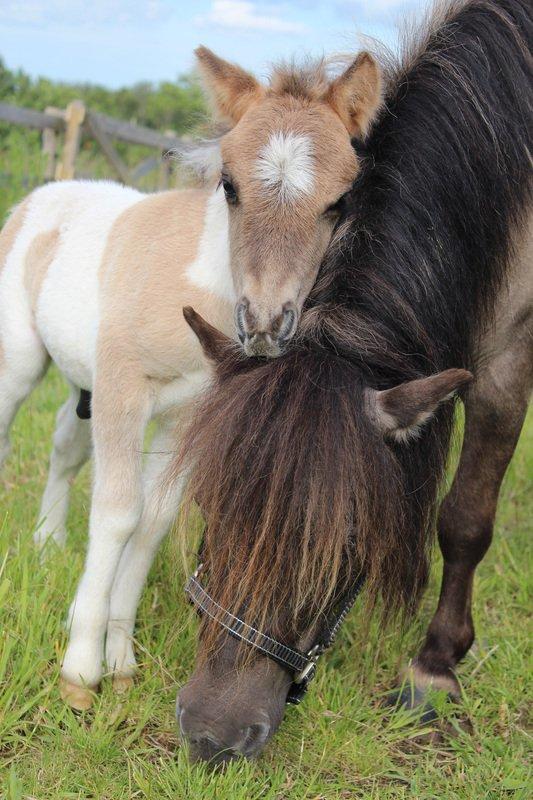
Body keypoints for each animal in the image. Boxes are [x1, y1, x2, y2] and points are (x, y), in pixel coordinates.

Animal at [0, 48, 382, 708]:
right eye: (229, 184)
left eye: (338, 202)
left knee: (64, 445)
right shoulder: (124, 388)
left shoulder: (182, 418)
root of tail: (41, 195)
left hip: (81, 384)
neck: (199, 288)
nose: (265, 323)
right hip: (23, 361)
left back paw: (48, 544)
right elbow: (118, 514)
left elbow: (153, 521)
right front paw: (80, 671)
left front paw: (121, 660)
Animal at [171, 0, 532, 764]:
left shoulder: (507, 363)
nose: (213, 735)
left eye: (346, 545)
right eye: (211, 508)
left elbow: (464, 519)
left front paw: (432, 670)